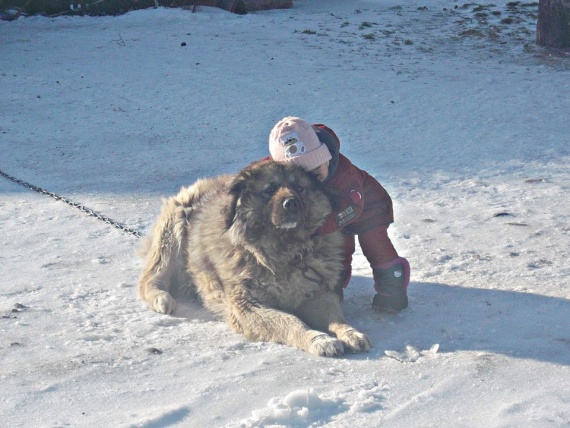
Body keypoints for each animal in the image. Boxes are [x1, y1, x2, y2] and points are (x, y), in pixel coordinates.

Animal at [137, 159, 368, 356]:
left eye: (300, 188)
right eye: (269, 190)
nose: (291, 203)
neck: (285, 251)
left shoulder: (316, 293)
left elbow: (335, 316)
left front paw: (350, 332)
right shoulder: (247, 305)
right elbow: (290, 321)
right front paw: (319, 340)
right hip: (174, 231)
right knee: (149, 278)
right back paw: (161, 298)